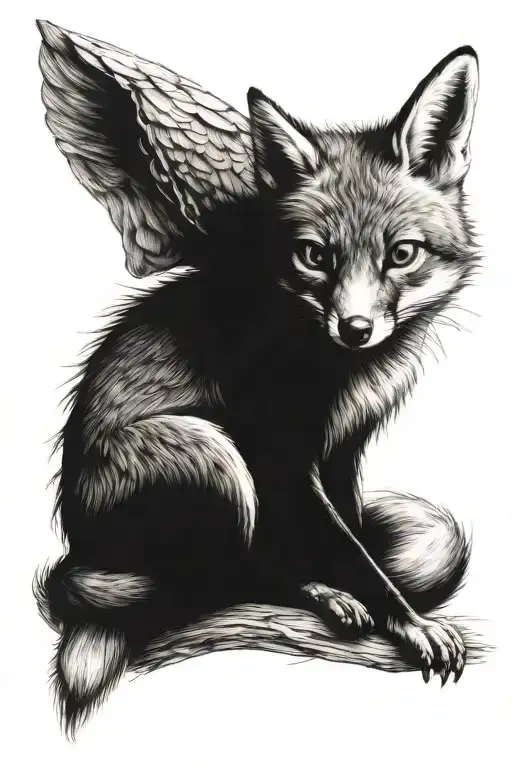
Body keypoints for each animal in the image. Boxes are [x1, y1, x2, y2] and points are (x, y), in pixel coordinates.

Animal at [34, 21, 480, 737]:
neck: (341, 370)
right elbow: (347, 552)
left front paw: (383, 603)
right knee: (220, 578)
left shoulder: (343, 447)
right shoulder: (277, 447)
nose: (356, 328)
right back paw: (312, 594)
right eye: (315, 256)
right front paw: (406, 623)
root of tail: (76, 541)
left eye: (401, 254)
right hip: (208, 452)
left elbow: (353, 535)